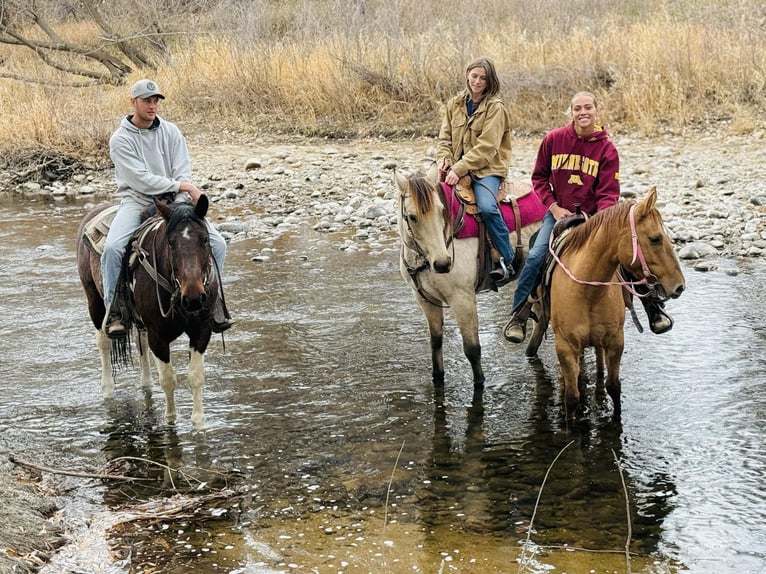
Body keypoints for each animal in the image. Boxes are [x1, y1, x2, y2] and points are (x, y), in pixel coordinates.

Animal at [76, 196, 219, 428]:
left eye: (205, 239)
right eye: (171, 242)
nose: (194, 298)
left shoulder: (201, 330)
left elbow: (196, 376)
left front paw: (199, 422)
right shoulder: (158, 335)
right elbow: (168, 380)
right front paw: (170, 420)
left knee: (140, 343)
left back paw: (146, 385)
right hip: (95, 301)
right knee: (103, 342)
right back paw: (108, 391)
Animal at [395, 168, 545, 387]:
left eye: (441, 210)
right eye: (412, 217)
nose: (443, 263)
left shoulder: (462, 299)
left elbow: (472, 349)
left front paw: (480, 383)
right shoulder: (425, 300)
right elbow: (436, 342)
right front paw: (438, 378)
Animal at [525, 186, 685, 418]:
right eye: (655, 238)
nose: (680, 286)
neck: (588, 292)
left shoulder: (615, 341)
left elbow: (614, 387)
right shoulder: (565, 346)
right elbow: (571, 397)